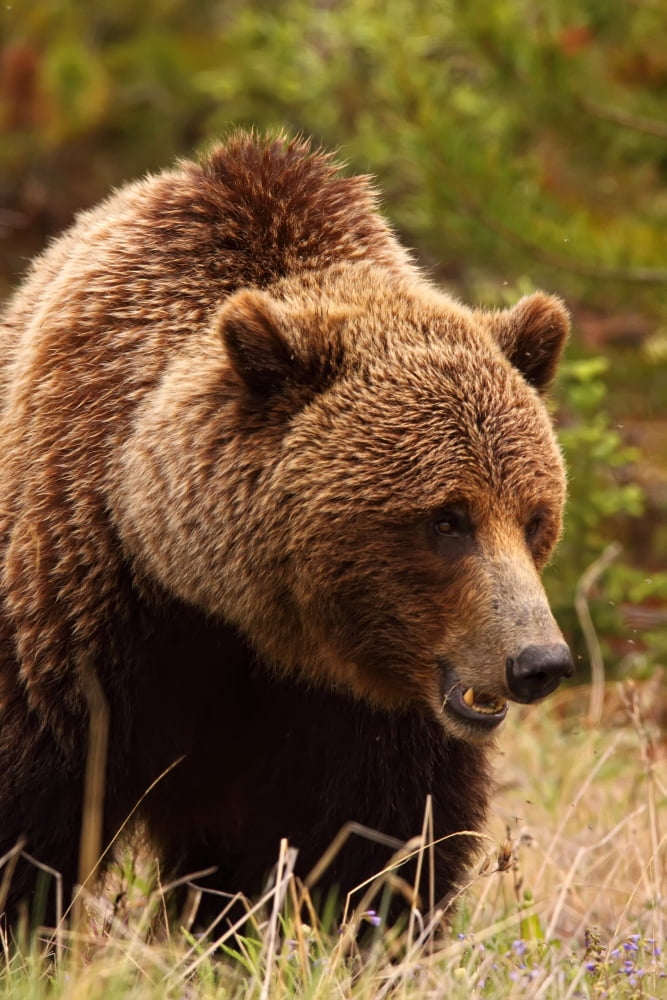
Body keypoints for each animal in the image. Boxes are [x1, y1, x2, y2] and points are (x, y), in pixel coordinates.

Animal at [0, 132, 574, 932]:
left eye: (533, 516)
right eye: (446, 519)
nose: (538, 661)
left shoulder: (365, 714)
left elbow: (375, 841)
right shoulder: (85, 612)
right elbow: (36, 806)